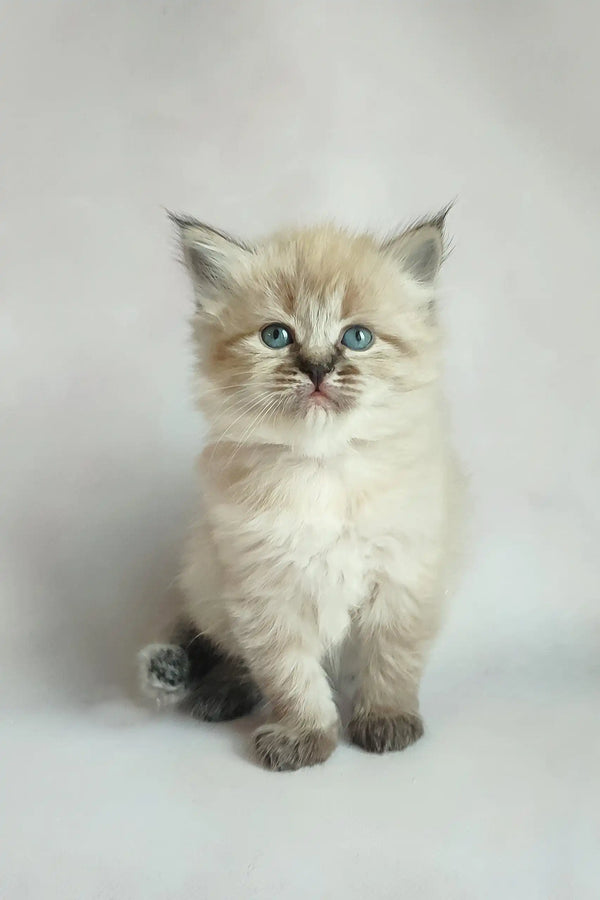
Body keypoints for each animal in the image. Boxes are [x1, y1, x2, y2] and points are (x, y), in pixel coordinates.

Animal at [138, 209, 462, 768]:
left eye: (357, 338)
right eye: (276, 336)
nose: (316, 369)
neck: (322, 468)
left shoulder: (402, 578)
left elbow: (392, 661)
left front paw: (385, 720)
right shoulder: (264, 591)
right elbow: (289, 676)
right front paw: (304, 737)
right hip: (209, 582)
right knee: (232, 654)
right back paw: (222, 694)